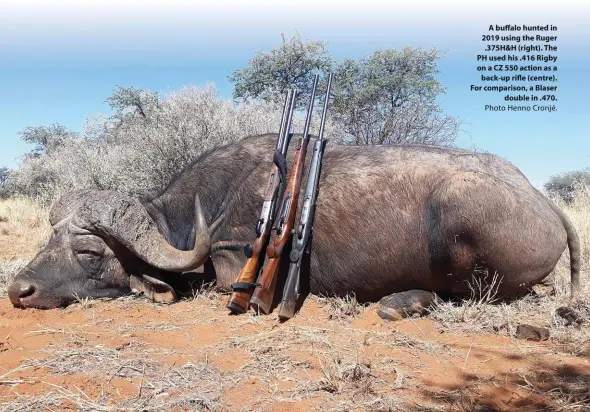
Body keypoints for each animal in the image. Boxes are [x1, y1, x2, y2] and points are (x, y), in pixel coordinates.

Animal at [8, 133, 584, 318]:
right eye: (49, 236)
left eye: (89, 253)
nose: (18, 290)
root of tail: (542, 200)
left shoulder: (228, 269)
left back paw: (400, 302)